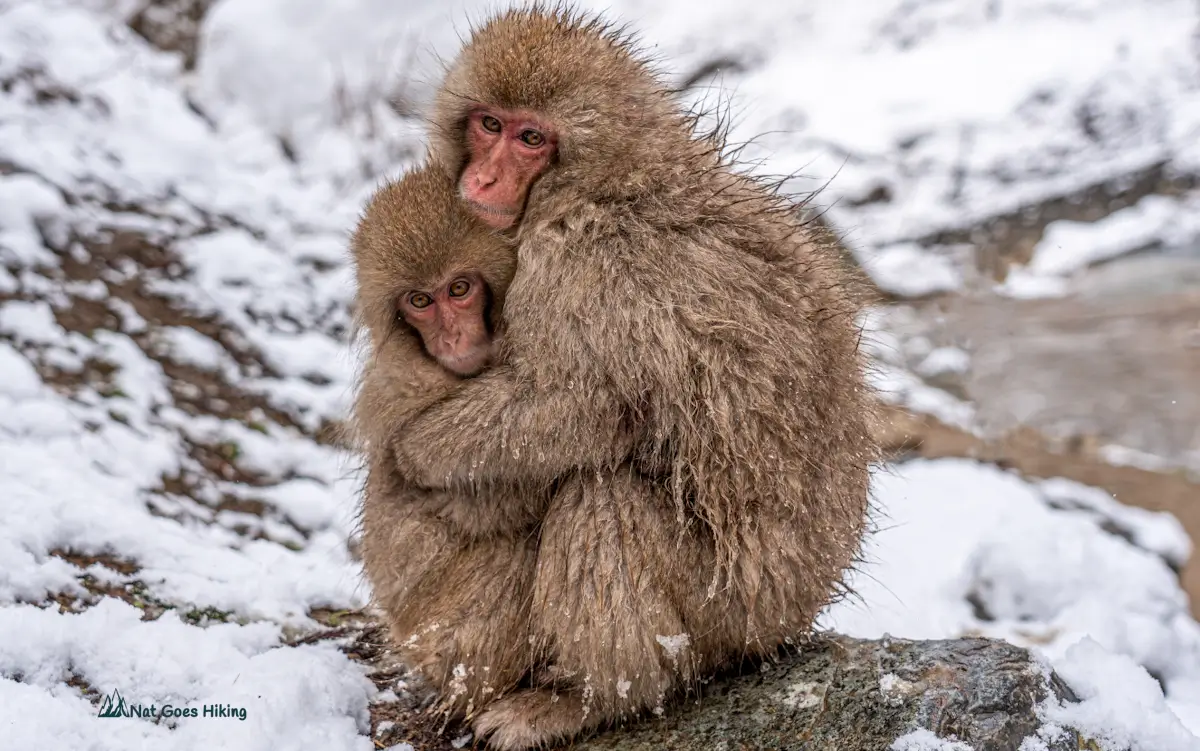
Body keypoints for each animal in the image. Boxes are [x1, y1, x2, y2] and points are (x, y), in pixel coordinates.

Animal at [388, 8, 880, 749]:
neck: (613, 179)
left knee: (602, 502)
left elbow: (579, 406)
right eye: (489, 124)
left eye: (532, 139)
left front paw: (416, 452)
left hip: (729, 611)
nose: (484, 181)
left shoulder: (581, 265)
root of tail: (801, 604)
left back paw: (587, 701)